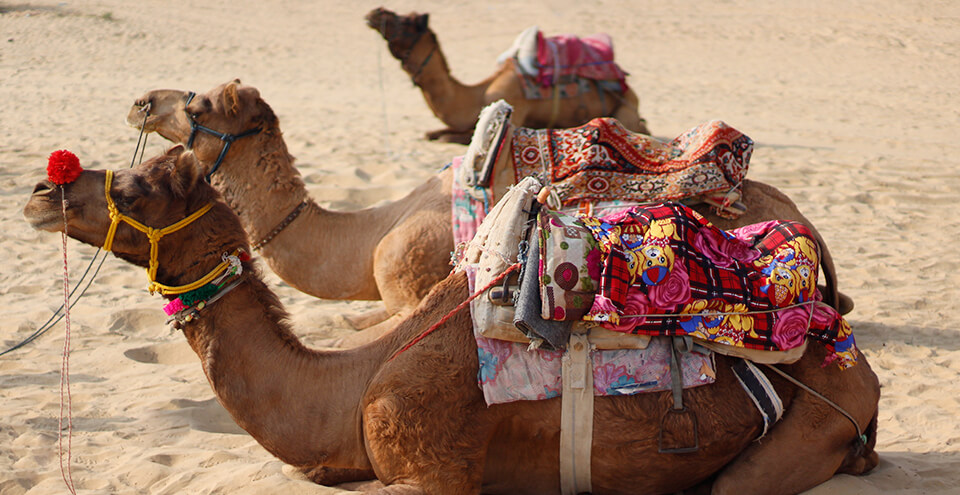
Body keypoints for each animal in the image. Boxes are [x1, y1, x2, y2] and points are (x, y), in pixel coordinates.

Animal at [24, 146, 880, 494]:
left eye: (137, 188)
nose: (41, 188)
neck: (351, 381)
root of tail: (852, 356)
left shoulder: (432, 464)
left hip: (815, 420)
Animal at [126, 81, 851, 346]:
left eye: (195, 105)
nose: (140, 101)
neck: (365, 234)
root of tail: (809, 224)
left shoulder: (407, 276)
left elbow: (360, 326)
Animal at [365, 7, 650, 144]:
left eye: (407, 22)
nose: (374, 12)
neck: (477, 95)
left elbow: (451, 137)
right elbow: (432, 132)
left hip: (625, 110)